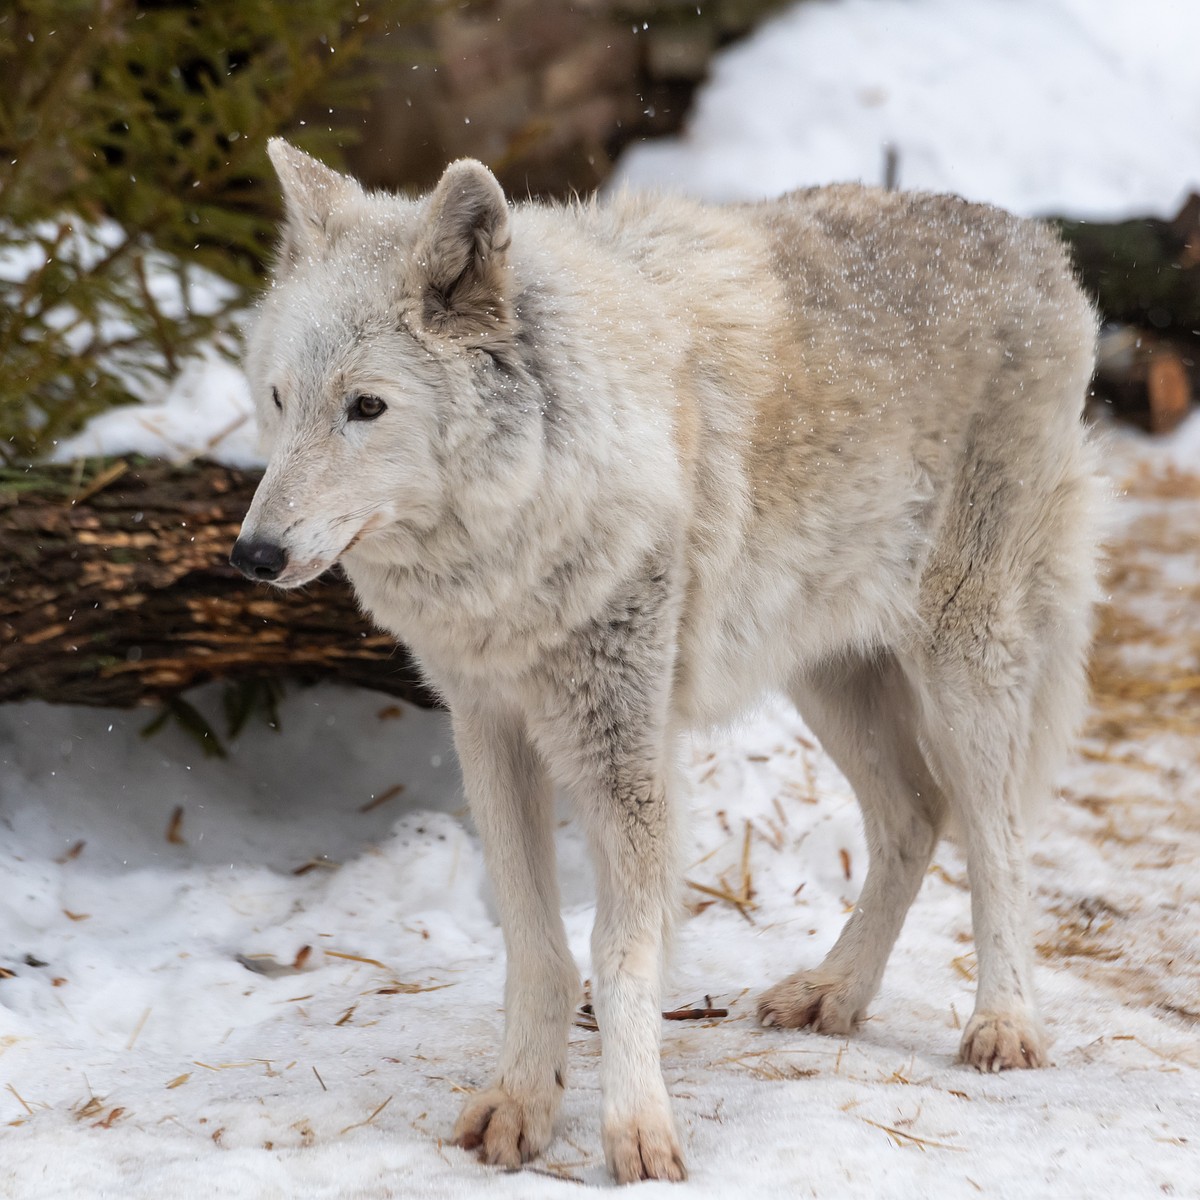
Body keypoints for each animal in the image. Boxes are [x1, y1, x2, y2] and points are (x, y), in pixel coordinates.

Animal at [229, 140, 1099, 1180]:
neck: (525, 523)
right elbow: (536, 945)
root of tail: (1039, 245)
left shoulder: (624, 753)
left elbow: (618, 954)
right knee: (916, 820)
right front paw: (521, 1104)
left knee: (998, 838)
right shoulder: (489, 730)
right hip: (827, 675)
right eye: (280, 399)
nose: (253, 554)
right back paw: (835, 993)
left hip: (961, 659)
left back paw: (1004, 1024)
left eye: (367, 407)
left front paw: (638, 1131)